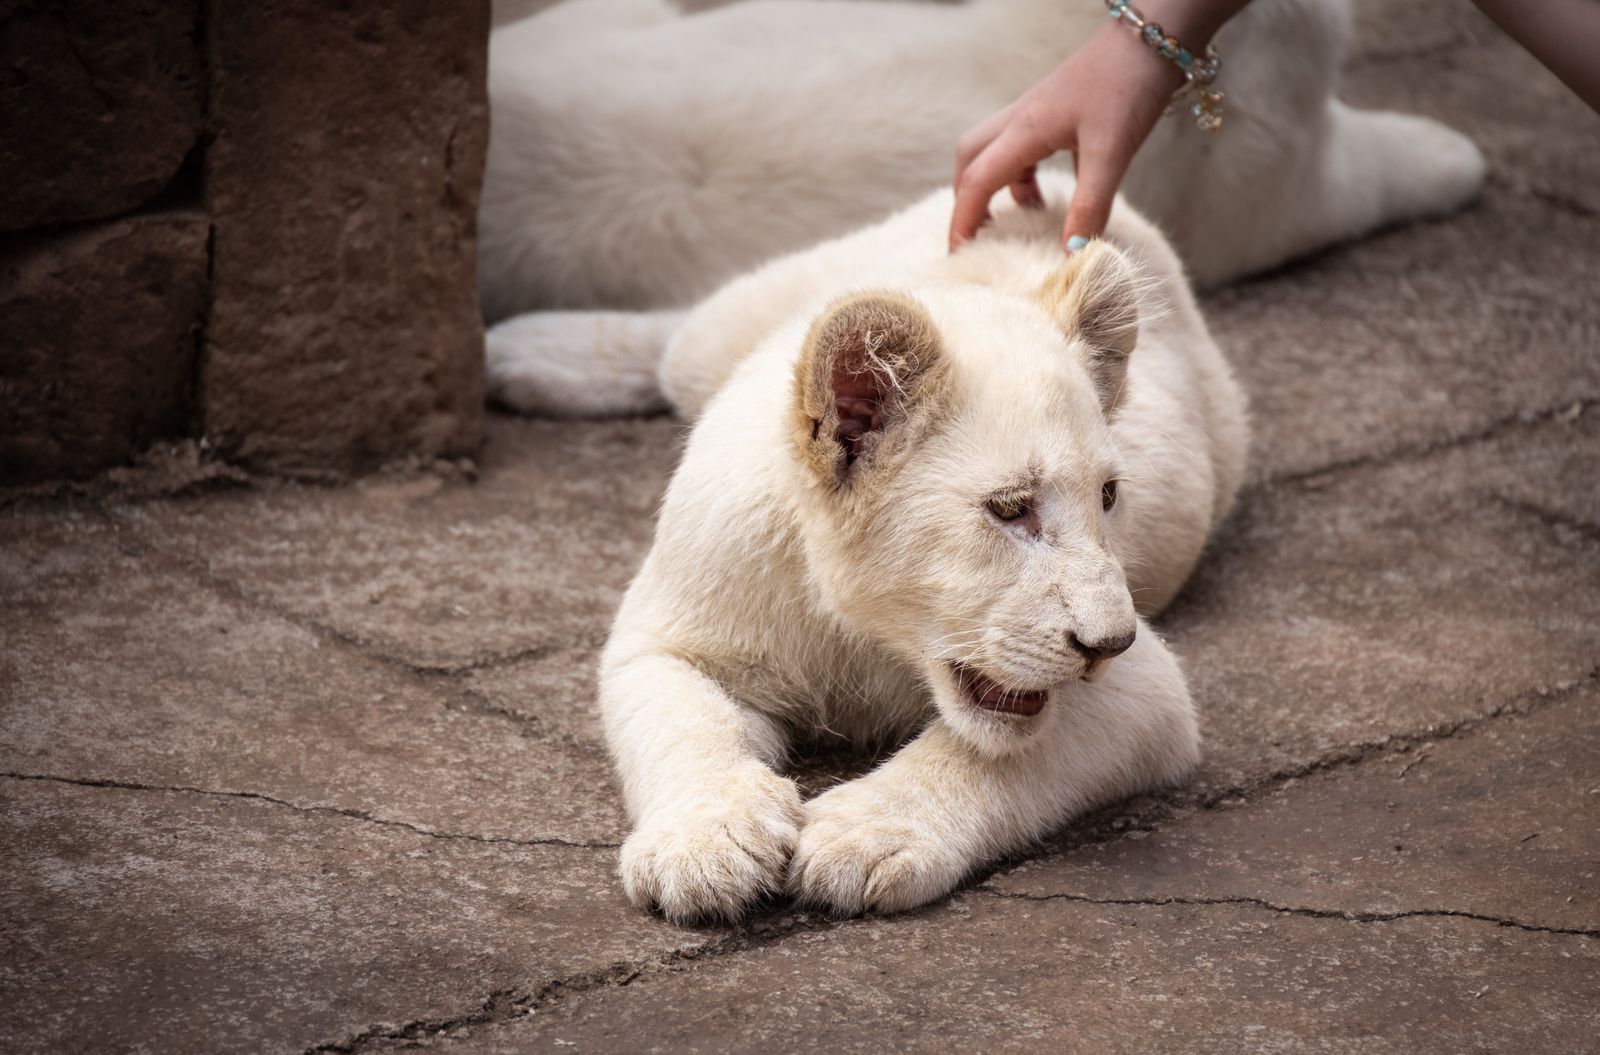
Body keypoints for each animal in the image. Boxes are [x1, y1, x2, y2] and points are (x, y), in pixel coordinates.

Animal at [598, 174, 1246, 920]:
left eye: (1108, 496)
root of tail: (1052, 191)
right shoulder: (667, 635)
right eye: (1009, 508)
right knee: (679, 341)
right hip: (727, 332)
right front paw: (706, 842)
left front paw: (868, 835)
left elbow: (986, 754)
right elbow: (683, 723)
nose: (1109, 643)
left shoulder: (1147, 688)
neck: (864, 629)